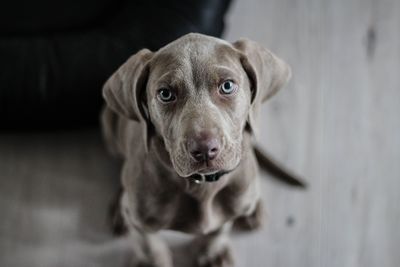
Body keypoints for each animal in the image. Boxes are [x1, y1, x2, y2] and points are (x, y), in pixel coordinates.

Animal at [102, 33, 296, 267]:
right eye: (165, 94)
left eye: (227, 86)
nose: (204, 150)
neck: (202, 186)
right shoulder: (140, 220)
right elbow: (148, 243)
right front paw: (152, 261)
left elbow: (219, 229)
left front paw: (212, 253)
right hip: (108, 123)